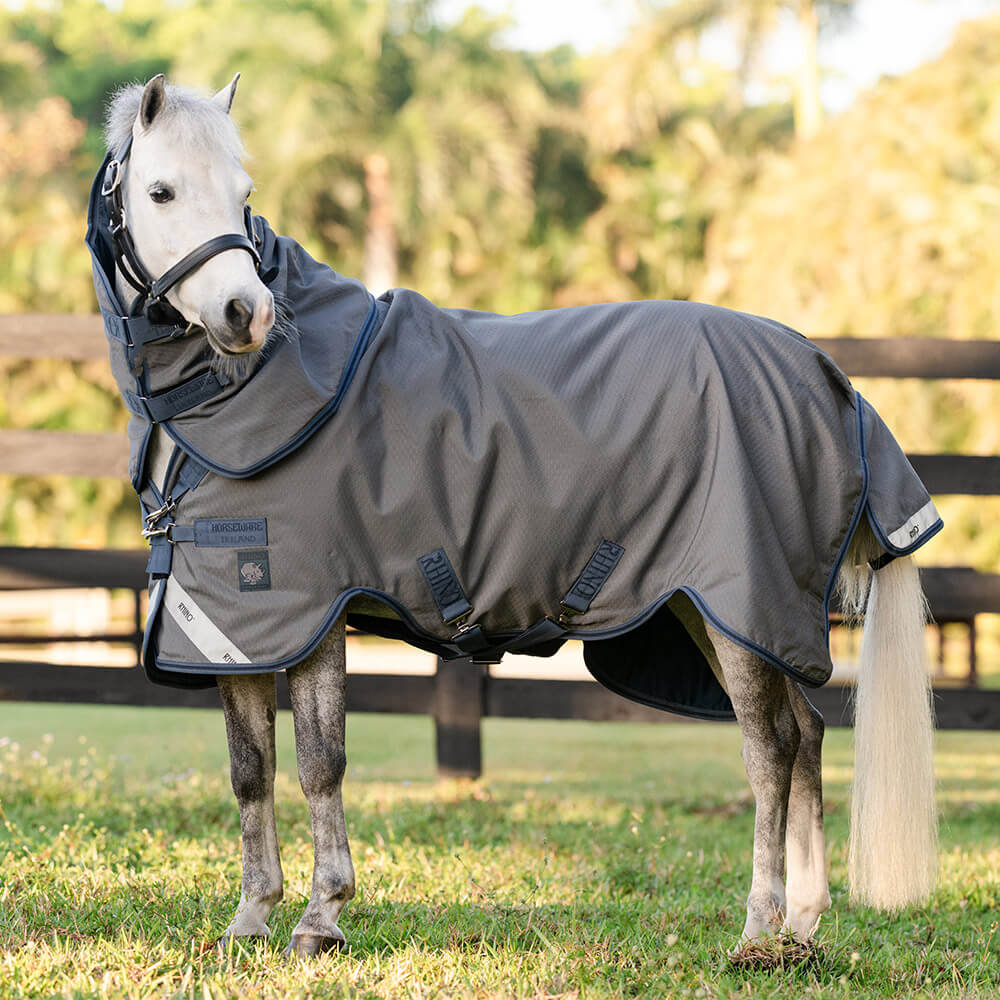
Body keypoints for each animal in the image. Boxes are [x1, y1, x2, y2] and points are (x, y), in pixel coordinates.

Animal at [87, 74, 938, 957]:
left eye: (243, 194)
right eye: (161, 191)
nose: (244, 314)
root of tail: (825, 374)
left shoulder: (308, 615)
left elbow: (322, 764)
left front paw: (321, 918)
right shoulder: (234, 626)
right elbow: (250, 770)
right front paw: (251, 918)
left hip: (741, 604)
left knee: (768, 750)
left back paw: (757, 928)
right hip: (722, 612)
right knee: (804, 734)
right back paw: (800, 925)